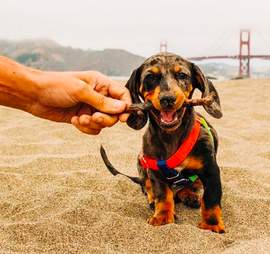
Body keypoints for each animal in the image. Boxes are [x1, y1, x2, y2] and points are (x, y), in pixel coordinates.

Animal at [100, 52, 225, 233]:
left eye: (182, 75)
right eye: (150, 77)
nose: (168, 99)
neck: (171, 135)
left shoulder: (211, 171)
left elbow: (211, 198)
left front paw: (211, 224)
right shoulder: (154, 170)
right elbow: (163, 195)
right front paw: (163, 217)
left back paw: (190, 195)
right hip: (141, 162)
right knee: (147, 186)